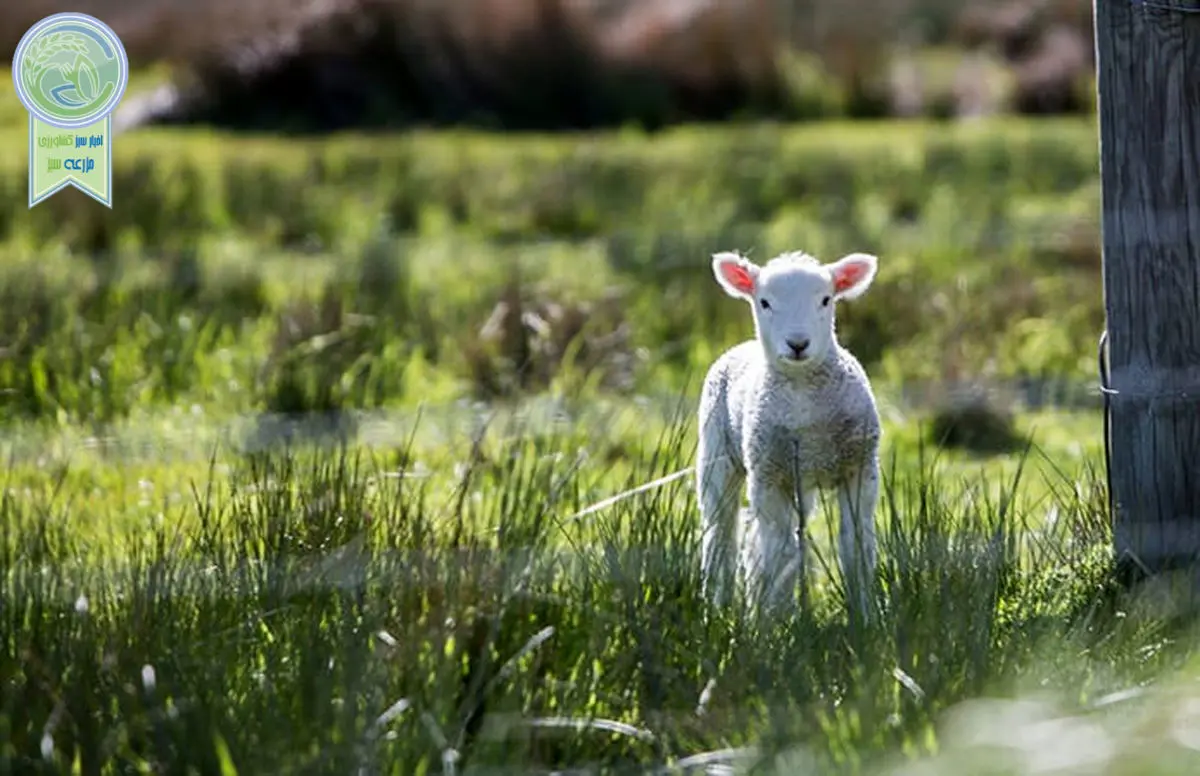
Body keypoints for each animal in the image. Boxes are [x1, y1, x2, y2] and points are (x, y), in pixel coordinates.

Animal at [696, 249, 883, 618]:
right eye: (765, 302)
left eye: (826, 300)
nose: (798, 344)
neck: (802, 397)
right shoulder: (769, 476)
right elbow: (779, 554)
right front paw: (775, 621)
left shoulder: (859, 468)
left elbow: (856, 547)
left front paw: (865, 616)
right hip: (717, 456)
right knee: (722, 536)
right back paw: (717, 607)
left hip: (800, 479)